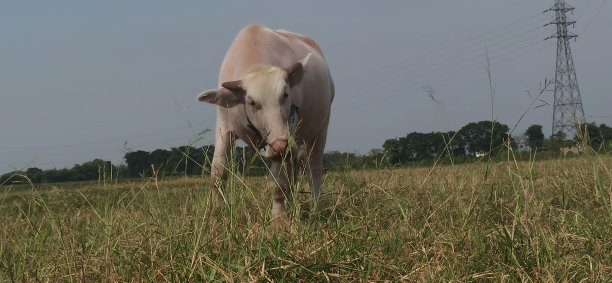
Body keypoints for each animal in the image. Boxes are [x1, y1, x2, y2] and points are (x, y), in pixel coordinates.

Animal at [197, 25, 334, 220]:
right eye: (252, 102)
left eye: (285, 94)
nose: (280, 146)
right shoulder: (224, 128)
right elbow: (218, 173)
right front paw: (217, 212)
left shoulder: (286, 135)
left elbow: (278, 183)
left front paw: (278, 219)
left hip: (320, 129)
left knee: (312, 167)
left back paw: (315, 208)